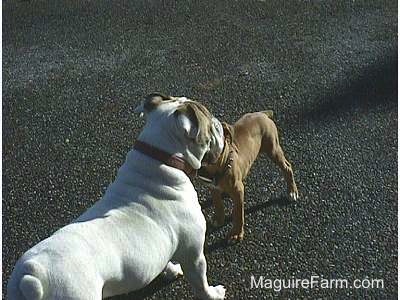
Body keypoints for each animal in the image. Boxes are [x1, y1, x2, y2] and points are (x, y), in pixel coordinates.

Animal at [7, 92, 225, 298]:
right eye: (209, 120)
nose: (219, 123)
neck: (160, 157)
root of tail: (32, 275)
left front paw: (171, 270)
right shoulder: (194, 256)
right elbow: (201, 284)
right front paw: (214, 294)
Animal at [198, 111, 298, 243]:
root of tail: (262, 113)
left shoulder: (238, 191)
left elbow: (238, 213)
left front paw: (236, 234)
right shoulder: (213, 187)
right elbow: (217, 203)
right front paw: (219, 219)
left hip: (273, 148)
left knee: (287, 167)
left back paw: (292, 191)